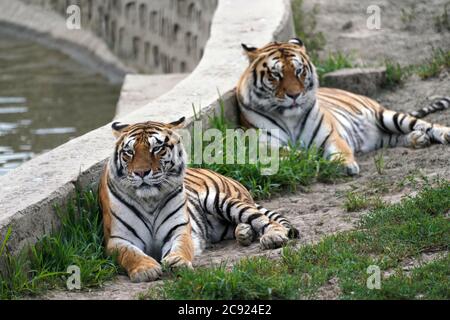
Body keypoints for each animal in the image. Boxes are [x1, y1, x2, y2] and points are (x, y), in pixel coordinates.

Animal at [100, 117, 300, 282]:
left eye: (157, 148)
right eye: (129, 152)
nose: (141, 173)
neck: (149, 200)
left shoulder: (180, 231)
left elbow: (181, 247)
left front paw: (177, 262)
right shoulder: (118, 239)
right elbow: (131, 254)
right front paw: (145, 269)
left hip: (221, 200)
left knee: (263, 219)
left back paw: (272, 237)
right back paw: (244, 232)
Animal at [237, 38, 448, 176]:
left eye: (299, 71)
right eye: (275, 75)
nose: (294, 95)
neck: (290, 118)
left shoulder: (330, 135)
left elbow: (340, 150)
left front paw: (344, 165)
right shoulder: (264, 144)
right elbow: (286, 153)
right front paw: (305, 157)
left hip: (385, 116)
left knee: (423, 124)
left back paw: (443, 134)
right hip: (380, 136)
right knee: (393, 137)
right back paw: (417, 139)